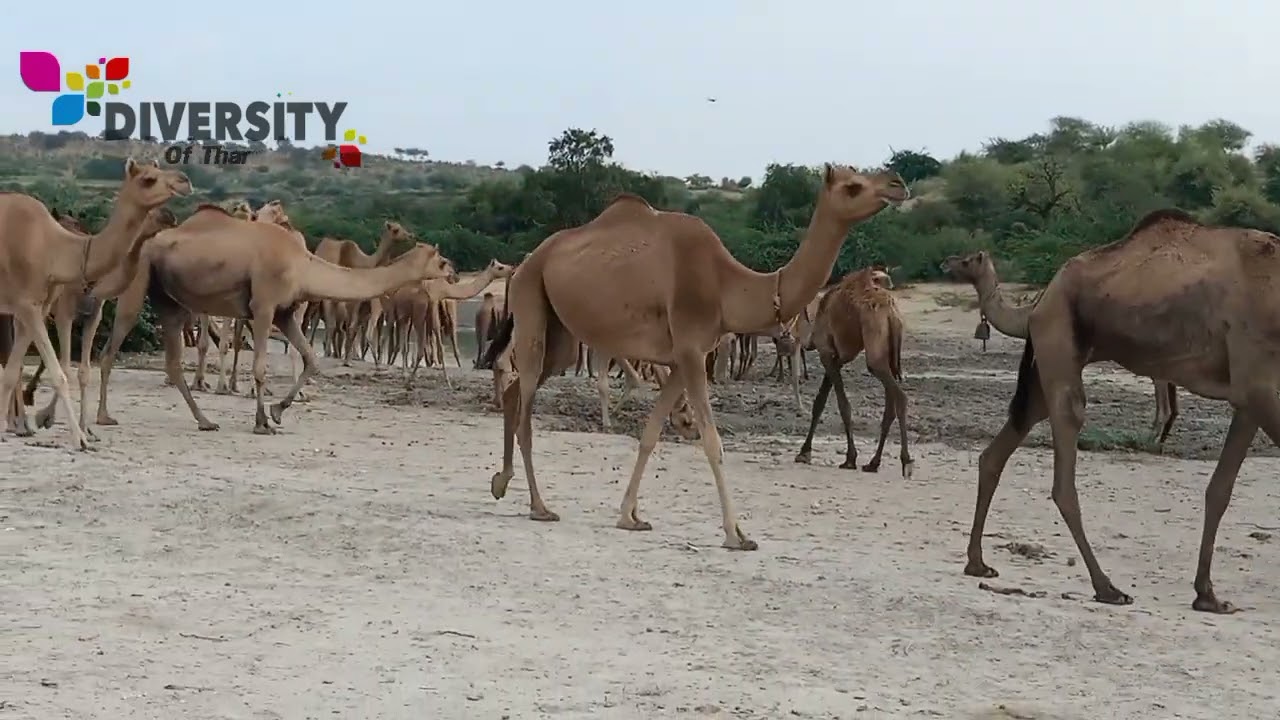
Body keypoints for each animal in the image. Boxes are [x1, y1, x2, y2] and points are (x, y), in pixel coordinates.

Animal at [0, 158, 191, 448]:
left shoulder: (37, 307)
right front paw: (79, 438)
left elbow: (12, 372)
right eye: (148, 179)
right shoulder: (32, 306)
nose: (184, 181)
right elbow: (59, 372)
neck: (55, 249)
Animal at [94, 211, 455, 433]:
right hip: (138, 279)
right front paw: (261, 422)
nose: (452, 273)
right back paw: (102, 417)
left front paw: (278, 411)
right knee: (111, 347)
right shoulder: (264, 306)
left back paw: (205, 421)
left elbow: (311, 359)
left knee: (172, 361)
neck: (303, 264)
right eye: (441, 260)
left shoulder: (284, 311)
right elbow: (260, 367)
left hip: (170, 300)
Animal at [794, 265, 910, 475]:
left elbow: (843, 405)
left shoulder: (826, 353)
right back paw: (873, 463)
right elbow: (819, 403)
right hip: (889, 354)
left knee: (899, 396)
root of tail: (890, 311)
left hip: (874, 342)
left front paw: (850, 459)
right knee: (890, 406)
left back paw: (906, 462)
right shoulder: (836, 359)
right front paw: (804, 453)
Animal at [965, 208, 1280, 613]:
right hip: (1058, 337)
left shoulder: (1249, 394)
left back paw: (977, 562)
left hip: (1049, 363)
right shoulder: (1257, 381)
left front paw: (1207, 595)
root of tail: (1044, 295)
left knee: (1000, 448)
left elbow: (1219, 490)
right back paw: (1107, 587)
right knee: (1065, 458)